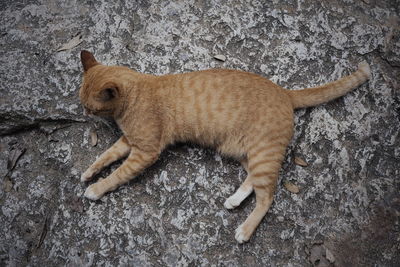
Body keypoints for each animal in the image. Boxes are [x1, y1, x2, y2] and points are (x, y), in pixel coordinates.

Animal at [79, 50, 372, 245]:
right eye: (83, 104)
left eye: (91, 107)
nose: (85, 113)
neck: (136, 93)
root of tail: (284, 92)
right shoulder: (129, 142)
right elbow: (105, 156)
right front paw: (89, 172)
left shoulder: (144, 151)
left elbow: (117, 174)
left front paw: (96, 188)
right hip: (248, 154)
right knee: (253, 180)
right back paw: (234, 200)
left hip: (263, 155)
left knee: (268, 197)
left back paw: (244, 230)